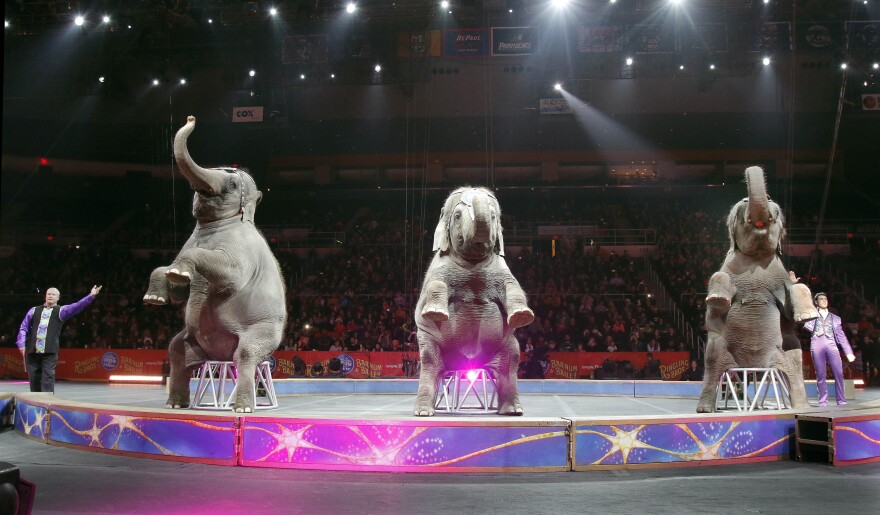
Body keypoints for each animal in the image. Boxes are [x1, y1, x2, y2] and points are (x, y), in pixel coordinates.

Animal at [142, 117, 286, 416]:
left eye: (231, 184)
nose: (191, 118)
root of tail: (217, 357)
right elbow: (176, 287)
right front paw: (158, 294)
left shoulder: (243, 251)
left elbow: (230, 275)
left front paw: (177, 272)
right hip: (190, 341)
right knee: (176, 352)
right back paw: (176, 404)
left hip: (264, 330)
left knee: (246, 355)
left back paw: (242, 408)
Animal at [414, 187, 532, 418]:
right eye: (458, 216)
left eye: (494, 216)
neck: (472, 263)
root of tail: (464, 365)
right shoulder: (438, 268)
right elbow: (436, 284)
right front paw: (435, 313)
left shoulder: (502, 269)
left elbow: (513, 287)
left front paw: (522, 316)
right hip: (428, 340)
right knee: (430, 361)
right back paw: (424, 412)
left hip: (506, 344)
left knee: (512, 360)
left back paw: (512, 411)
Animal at [696, 167, 820, 414]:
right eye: (741, 207)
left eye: (775, 208)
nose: (750, 170)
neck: (756, 256)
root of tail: (753, 368)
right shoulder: (730, 267)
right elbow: (718, 281)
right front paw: (717, 298)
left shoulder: (780, 276)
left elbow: (794, 294)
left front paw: (808, 315)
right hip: (720, 346)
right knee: (713, 360)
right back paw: (705, 408)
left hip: (785, 346)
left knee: (795, 360)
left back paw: (801, 405)